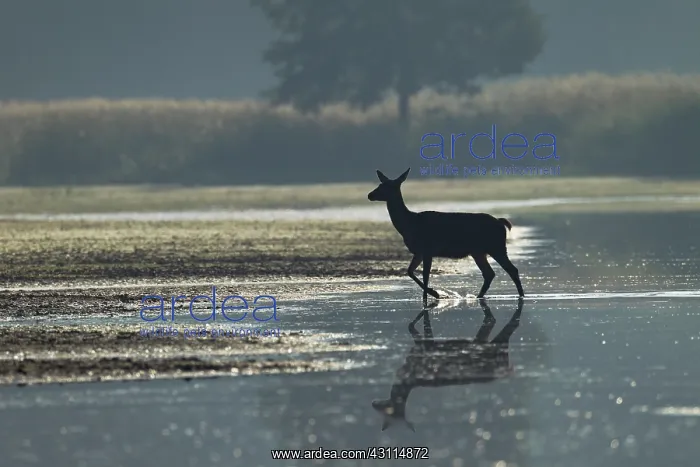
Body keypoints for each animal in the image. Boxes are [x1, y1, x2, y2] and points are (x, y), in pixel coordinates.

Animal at [367, 168, 524, 301]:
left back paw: (521, 296)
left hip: (496, 247)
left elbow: (425, 276)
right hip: (478, 251)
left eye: (387, 186)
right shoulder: (419, 251)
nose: (370, 195)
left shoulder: (427, 249)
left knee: (511, 270)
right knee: (489, 273)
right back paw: (478, 296)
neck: (408, 224)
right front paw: (434, 294)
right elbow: (410, 271)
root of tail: (501, 222)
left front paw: (433, 295)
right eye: (380, 184)